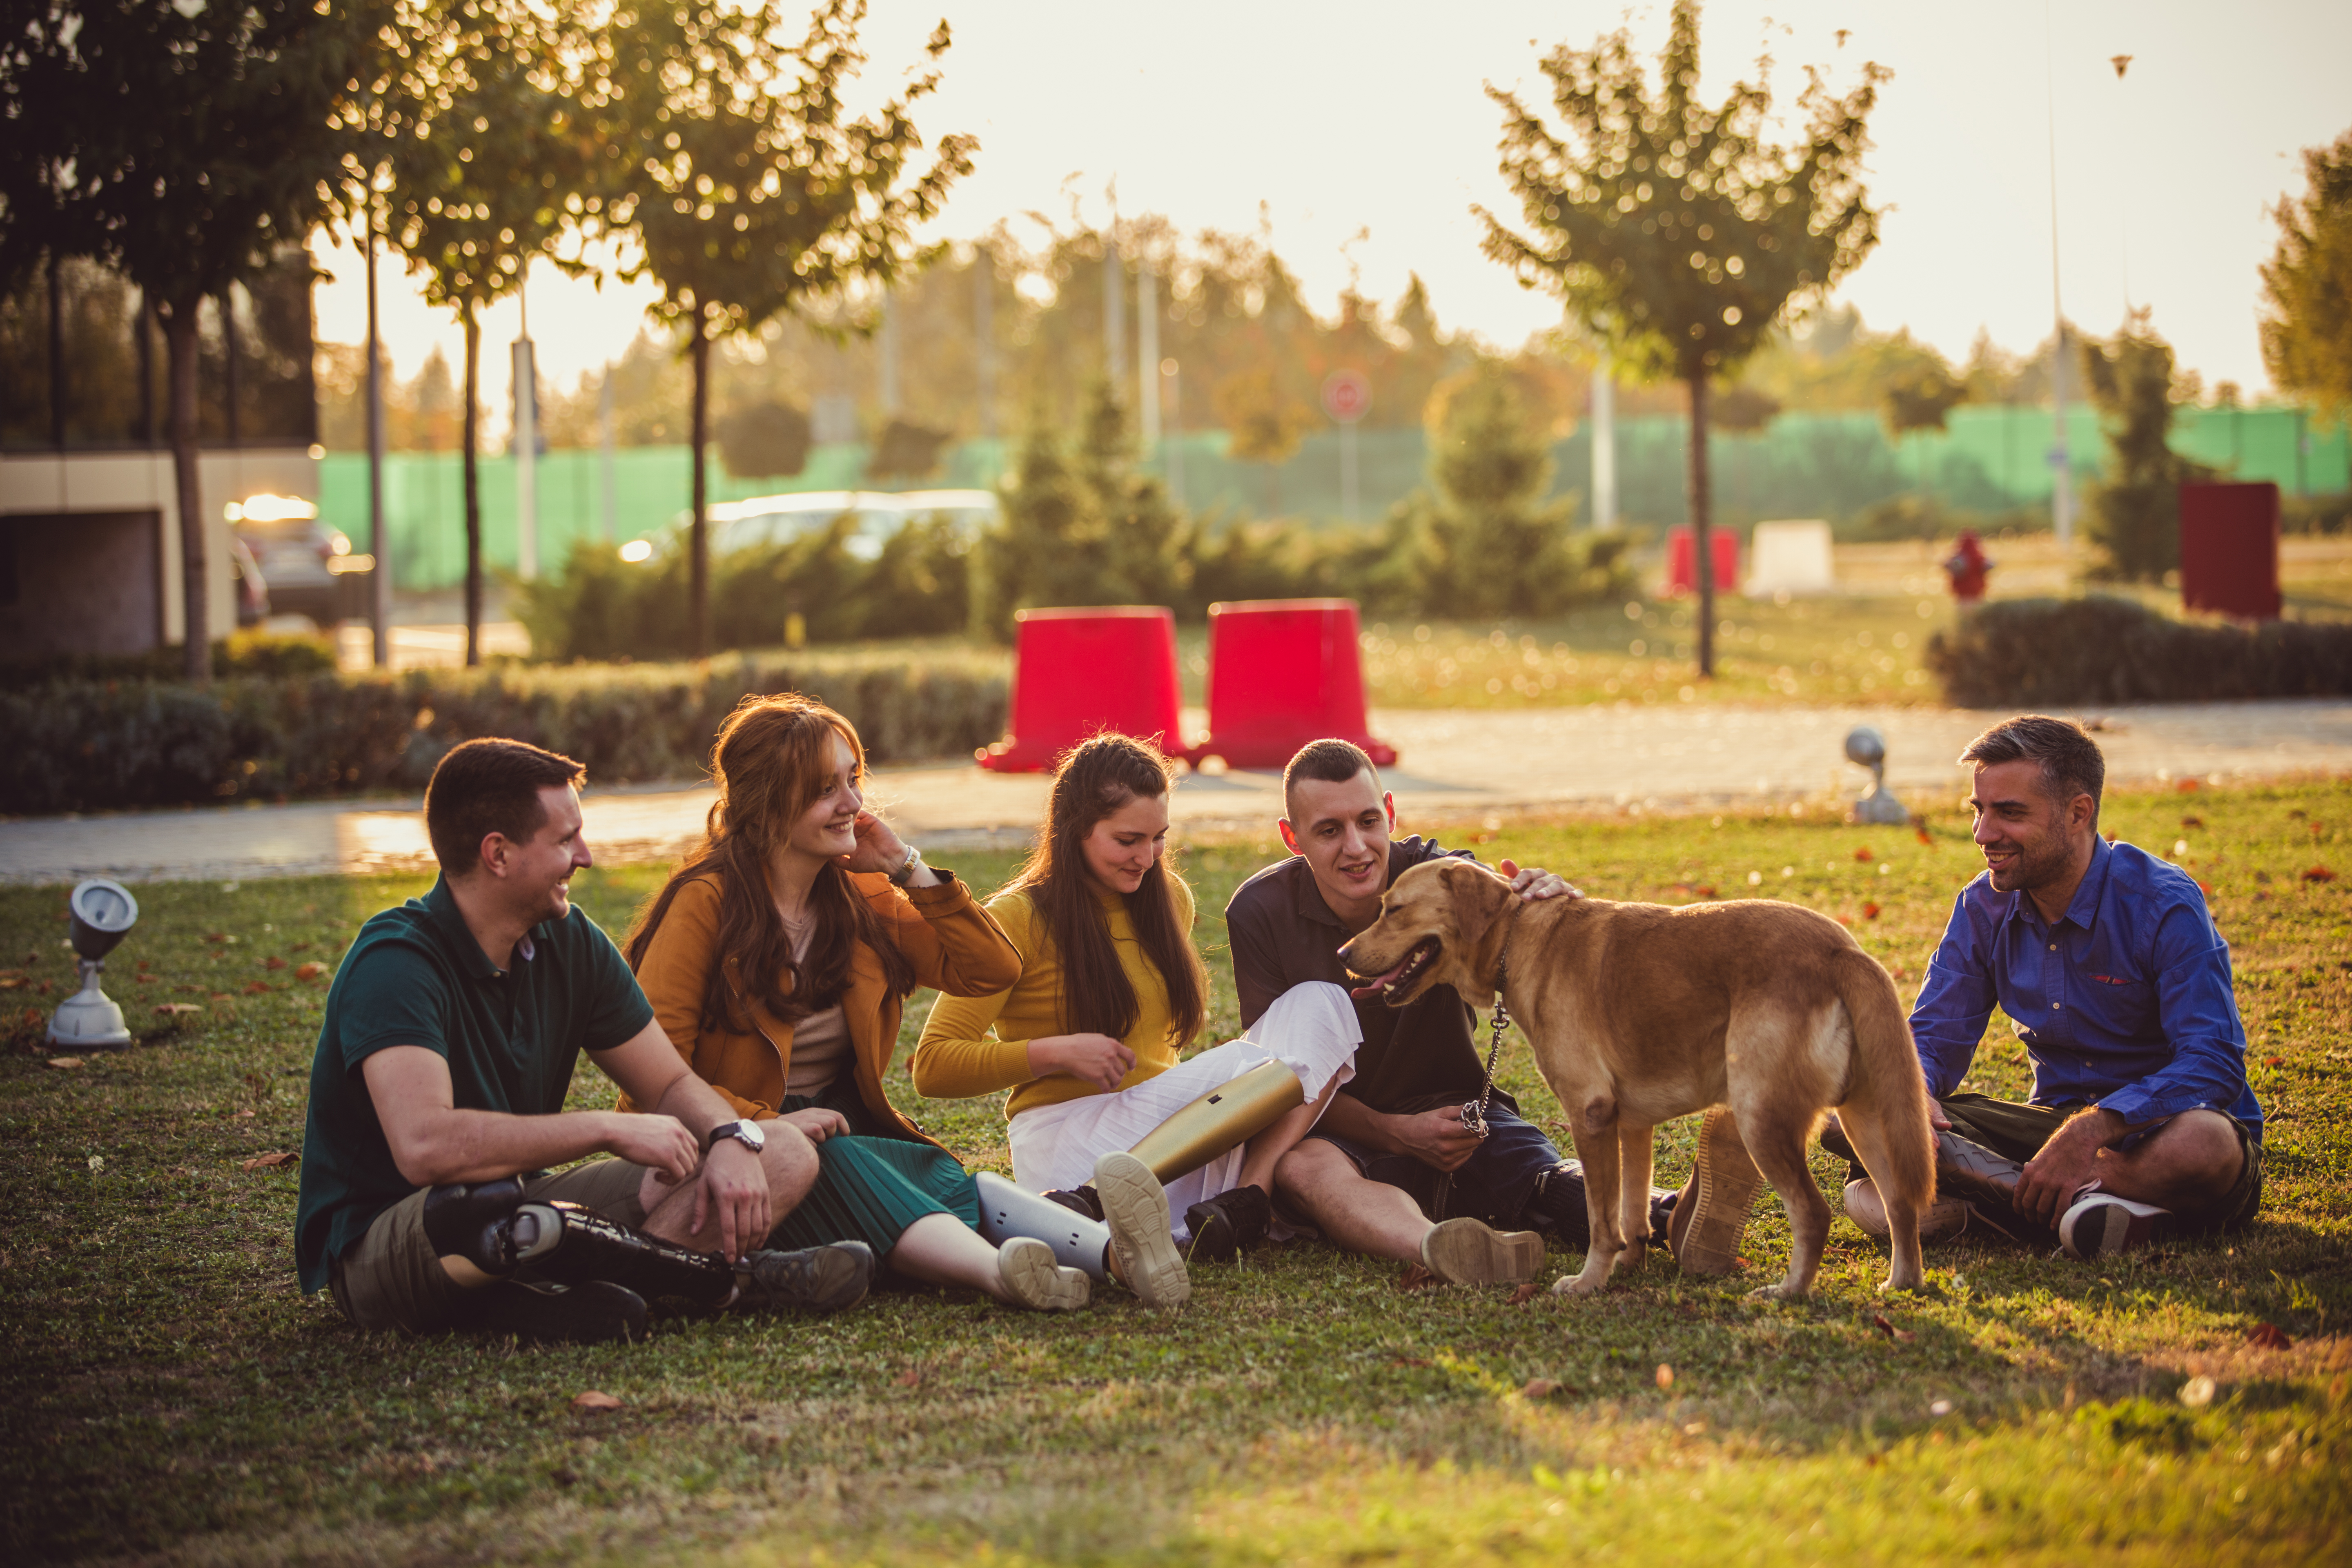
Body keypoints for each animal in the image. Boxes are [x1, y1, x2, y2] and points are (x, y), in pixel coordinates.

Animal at [1345, 860, 1929, 1297]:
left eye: (1394, 909)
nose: (1342, 955)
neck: (1520, 937)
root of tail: (1841, 949)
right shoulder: (1632, 1125)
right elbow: (1630, 1213)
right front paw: (1628, 1268)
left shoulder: (1591, 1115)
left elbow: (1602, 1219)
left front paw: (1589, 1282)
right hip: (1864, 1119)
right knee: (1900, 1202)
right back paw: (1902, 1283)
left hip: (1762, 1117)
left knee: (1814, 1212)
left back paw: (1790, 1292)